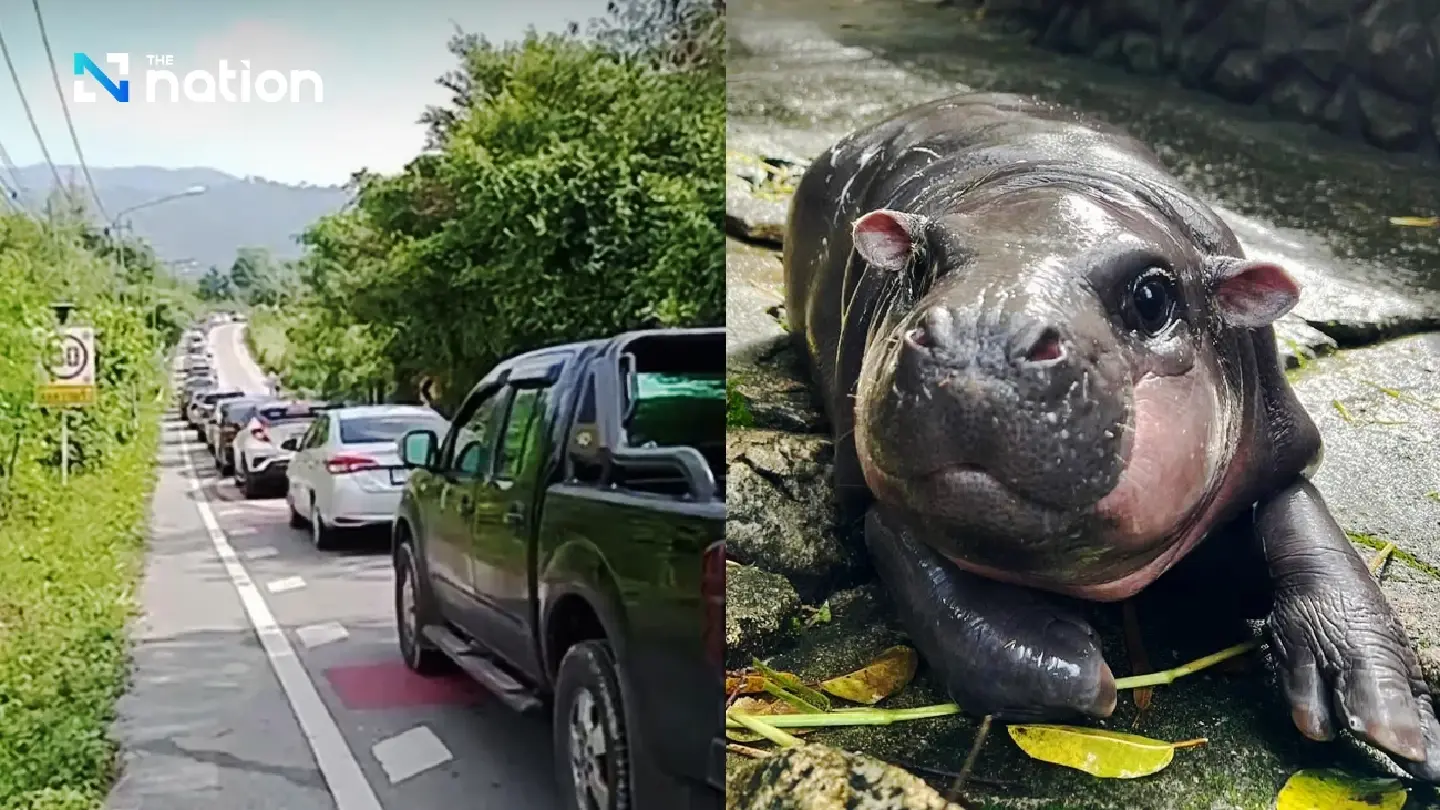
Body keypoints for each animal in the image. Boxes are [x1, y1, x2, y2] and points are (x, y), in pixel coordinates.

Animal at [782, 92, 1440, 779]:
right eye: (920, 265)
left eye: (1152, 297)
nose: (983, 336)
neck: (1052, 179)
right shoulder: (865, 478)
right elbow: (906, 549)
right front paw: (1068, 662)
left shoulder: (1281, 439)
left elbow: (1307, 529)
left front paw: (1395, 725)